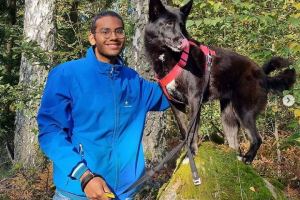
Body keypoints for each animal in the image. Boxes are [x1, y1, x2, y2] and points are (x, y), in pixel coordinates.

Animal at [145, 0, 296, 164]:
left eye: (182, 25)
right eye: (169, 24)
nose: (183, 41)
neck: (169, 57)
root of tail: (263, 75)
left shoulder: (194, 100)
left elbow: (192, 132)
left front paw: (191, 154)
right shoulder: (175, 104)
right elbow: (184, 131)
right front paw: (186, 153)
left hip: (243, 110)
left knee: (257, 139)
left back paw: (246, 159)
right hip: (228, 117)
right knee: (235, 145)